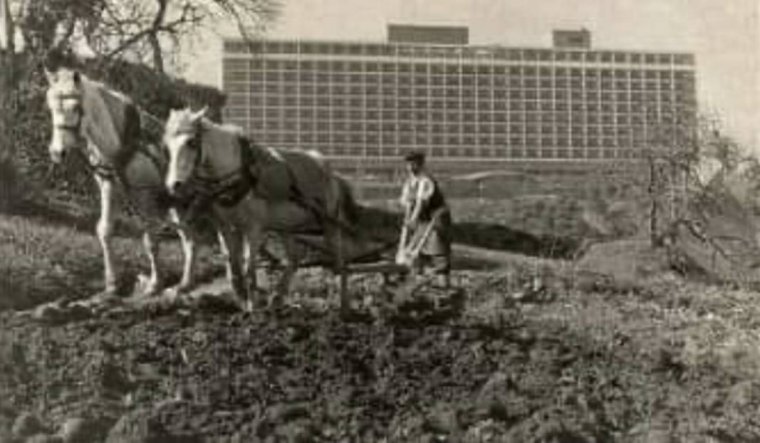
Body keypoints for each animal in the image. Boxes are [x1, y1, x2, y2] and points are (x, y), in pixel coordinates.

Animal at [44, 64, 199, 296]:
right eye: (51, 107)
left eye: (75, 107)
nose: (57, 152)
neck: (122, 142)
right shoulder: (108, 185)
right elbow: (105, 230)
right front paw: (112, 284)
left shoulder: (143, 194)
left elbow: (150, 239)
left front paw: (154, 284)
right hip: (176, 201)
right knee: (188, 235)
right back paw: (185, 283)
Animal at [162, 108, 364, 312]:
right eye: (167, 146)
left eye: (191, 142)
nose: (174, 185)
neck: (238, 174)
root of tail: (333, 174)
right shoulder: (226, 227)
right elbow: (232, 266)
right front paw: (242, 300)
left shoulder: (254, 228)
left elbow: (249, 269)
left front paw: (252, 308)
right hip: (285, 227)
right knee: (294, 259)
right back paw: (277, 298)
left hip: (330, 224)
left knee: (341, 264)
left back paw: (344, 307)